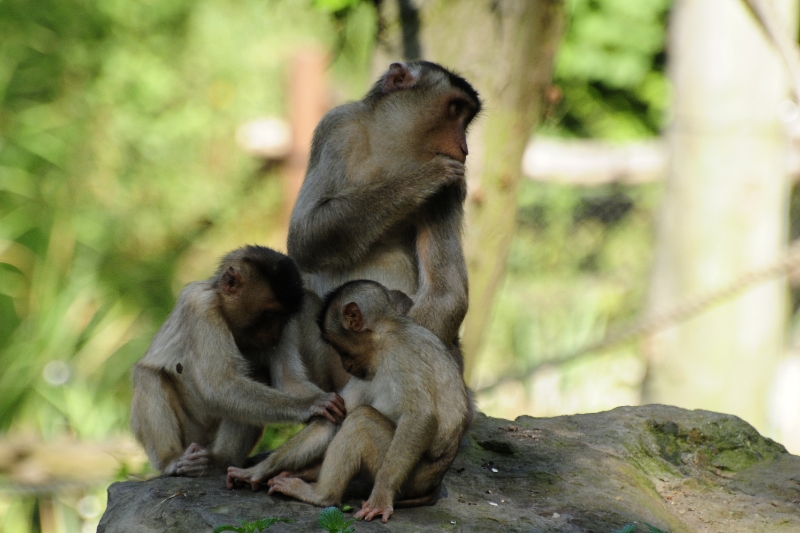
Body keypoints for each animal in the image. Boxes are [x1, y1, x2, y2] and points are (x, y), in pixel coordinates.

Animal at [225, 280, 472, 520]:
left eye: (337, 345)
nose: (345, 365)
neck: (385, 335)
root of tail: (436, 484)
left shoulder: (401, 353)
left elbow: (420, 417)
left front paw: (380, 498)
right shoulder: (367, 369)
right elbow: (332, 420)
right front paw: (255, 472)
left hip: (415, 477)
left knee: (361, 420)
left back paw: (322, 495)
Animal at [290, 60, 484, 368]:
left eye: (467, 119)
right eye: (455, 109)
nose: (464, 148)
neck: (390, 151)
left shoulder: (452, 191)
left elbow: (446, 293)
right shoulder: (337, 127)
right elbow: (305, 236)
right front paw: (425, 177)